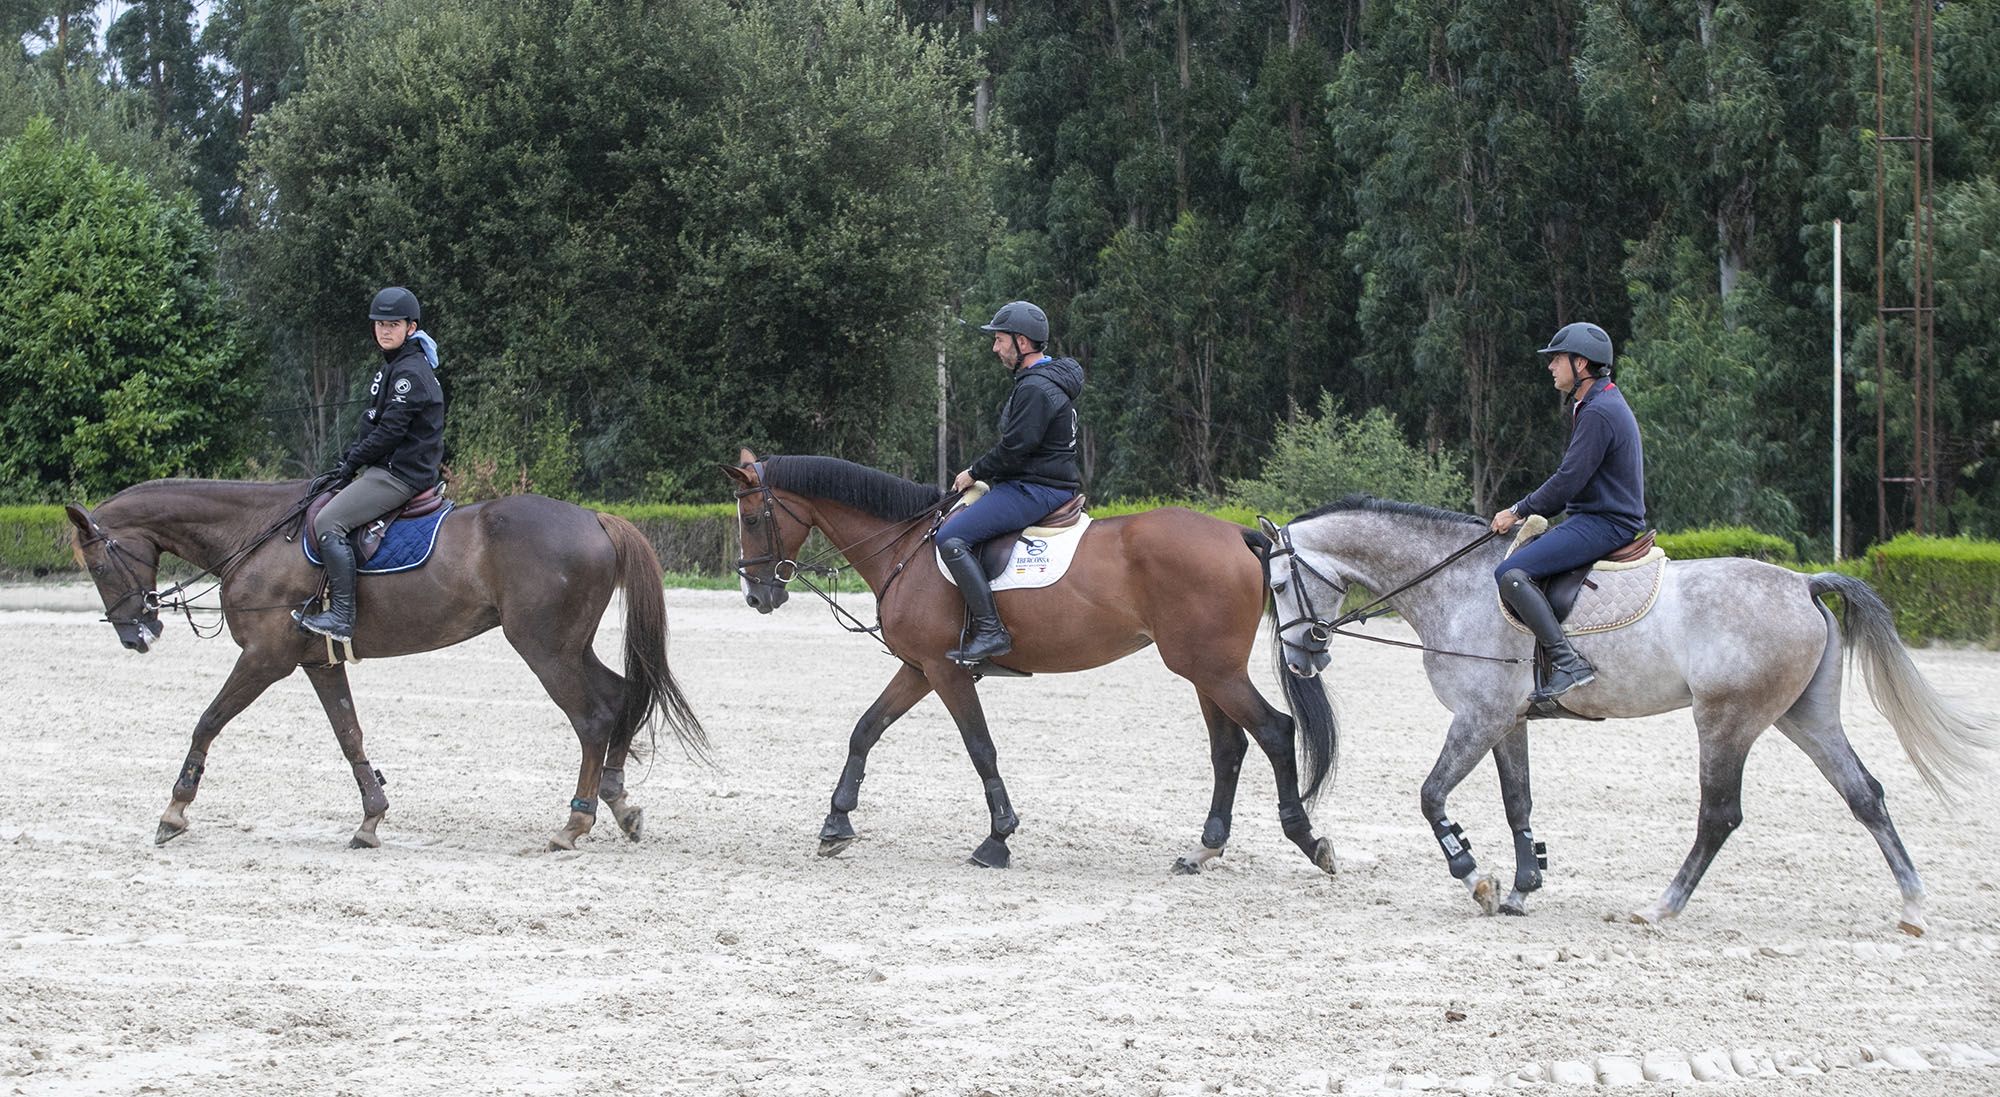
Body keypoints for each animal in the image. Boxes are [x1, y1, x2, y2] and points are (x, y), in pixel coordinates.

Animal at [66, 478, 708, 848]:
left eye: (96, 564)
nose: (136, 634)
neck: (254, 534)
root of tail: (595, 517)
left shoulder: (265, 658)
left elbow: (207, 721)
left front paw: (174, 812)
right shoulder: (318, 663)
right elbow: (349, 734)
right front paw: (371, 819)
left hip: (544, 647)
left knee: (592, 716)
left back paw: (575, 822)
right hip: (569, 646)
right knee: (620, 696)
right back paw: (620, 803)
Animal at [724, 454, 1344, 872]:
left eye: (751, 519)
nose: (756, 596)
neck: (907, 548)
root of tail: (1239, 537)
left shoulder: (946, 671)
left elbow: (980, 747)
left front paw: (997, 838)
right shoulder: (920, 668)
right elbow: (866, 729)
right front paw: (836, 822)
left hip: (1213, 669)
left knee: (1274, 730)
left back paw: (1308, 840)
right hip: (1203, 671)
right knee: (1230, 747)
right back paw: (1205, 849)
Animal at [1256, 496, 1992, 932]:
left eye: (1280, 584)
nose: (1300, 658)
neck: (1453, 585)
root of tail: (1805, 583)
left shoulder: (1479, 716)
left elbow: (1431, 794)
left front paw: (1475, 877)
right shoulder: (1509, 722)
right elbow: (1519, 803)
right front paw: (1522, 886)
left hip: (1725, 721)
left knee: (1720, 815)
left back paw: (1662, 905)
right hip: (1804, 718)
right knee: (1865, 794)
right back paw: (1914, 904)